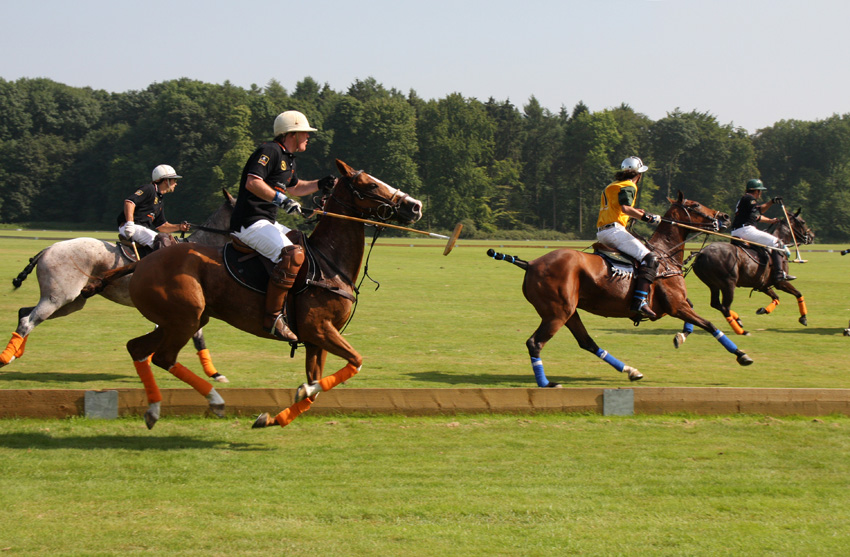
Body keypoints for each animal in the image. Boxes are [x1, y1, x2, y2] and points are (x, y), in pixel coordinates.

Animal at [0, 189, 235, 380]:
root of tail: (47, 249)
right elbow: (195, 336)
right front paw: (213, 374)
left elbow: (193, 337)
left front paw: (214, 373)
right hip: (59, 297)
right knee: (28, 321)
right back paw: (5, 358)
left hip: (70, 301)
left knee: (24, 312)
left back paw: (13, 355)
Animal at [84, 159, 422, 428]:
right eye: (370, 184)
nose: (415, 206)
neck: (329, 261)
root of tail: (143, 262)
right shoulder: (318, 328)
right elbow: (354, 361)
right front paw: (297, 393)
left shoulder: (317, 340)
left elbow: (317, 384)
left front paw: (272, 418)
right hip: (185, 317)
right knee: (164, 356)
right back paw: (215, 399)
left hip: (178, 320)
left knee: (138, 348)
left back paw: (155, 409)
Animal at [484, 192, 748, 386]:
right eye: (695, 205)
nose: (725, 216)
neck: (665, 255)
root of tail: (530, 264)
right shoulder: (676, 305)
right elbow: (710, 324)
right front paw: (742, 355)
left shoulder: (677, 304)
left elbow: (697, 317)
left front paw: (681, 336)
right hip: (557, 313)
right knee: (535, 343)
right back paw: (546, 383)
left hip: (568, 312)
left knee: (587, 343)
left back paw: (631, 370)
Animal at [684, 205, 812, 334]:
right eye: (803, 222)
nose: (811, 237)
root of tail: (701, 253)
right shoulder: (780, 282)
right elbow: (798, 293)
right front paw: (803, 318)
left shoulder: (763, 285)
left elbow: (776, 298)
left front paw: (763, 310)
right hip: (728, 284)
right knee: (725, 306)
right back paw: (740, 330)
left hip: (713, 284)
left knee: (716, 304)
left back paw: (738, 320)